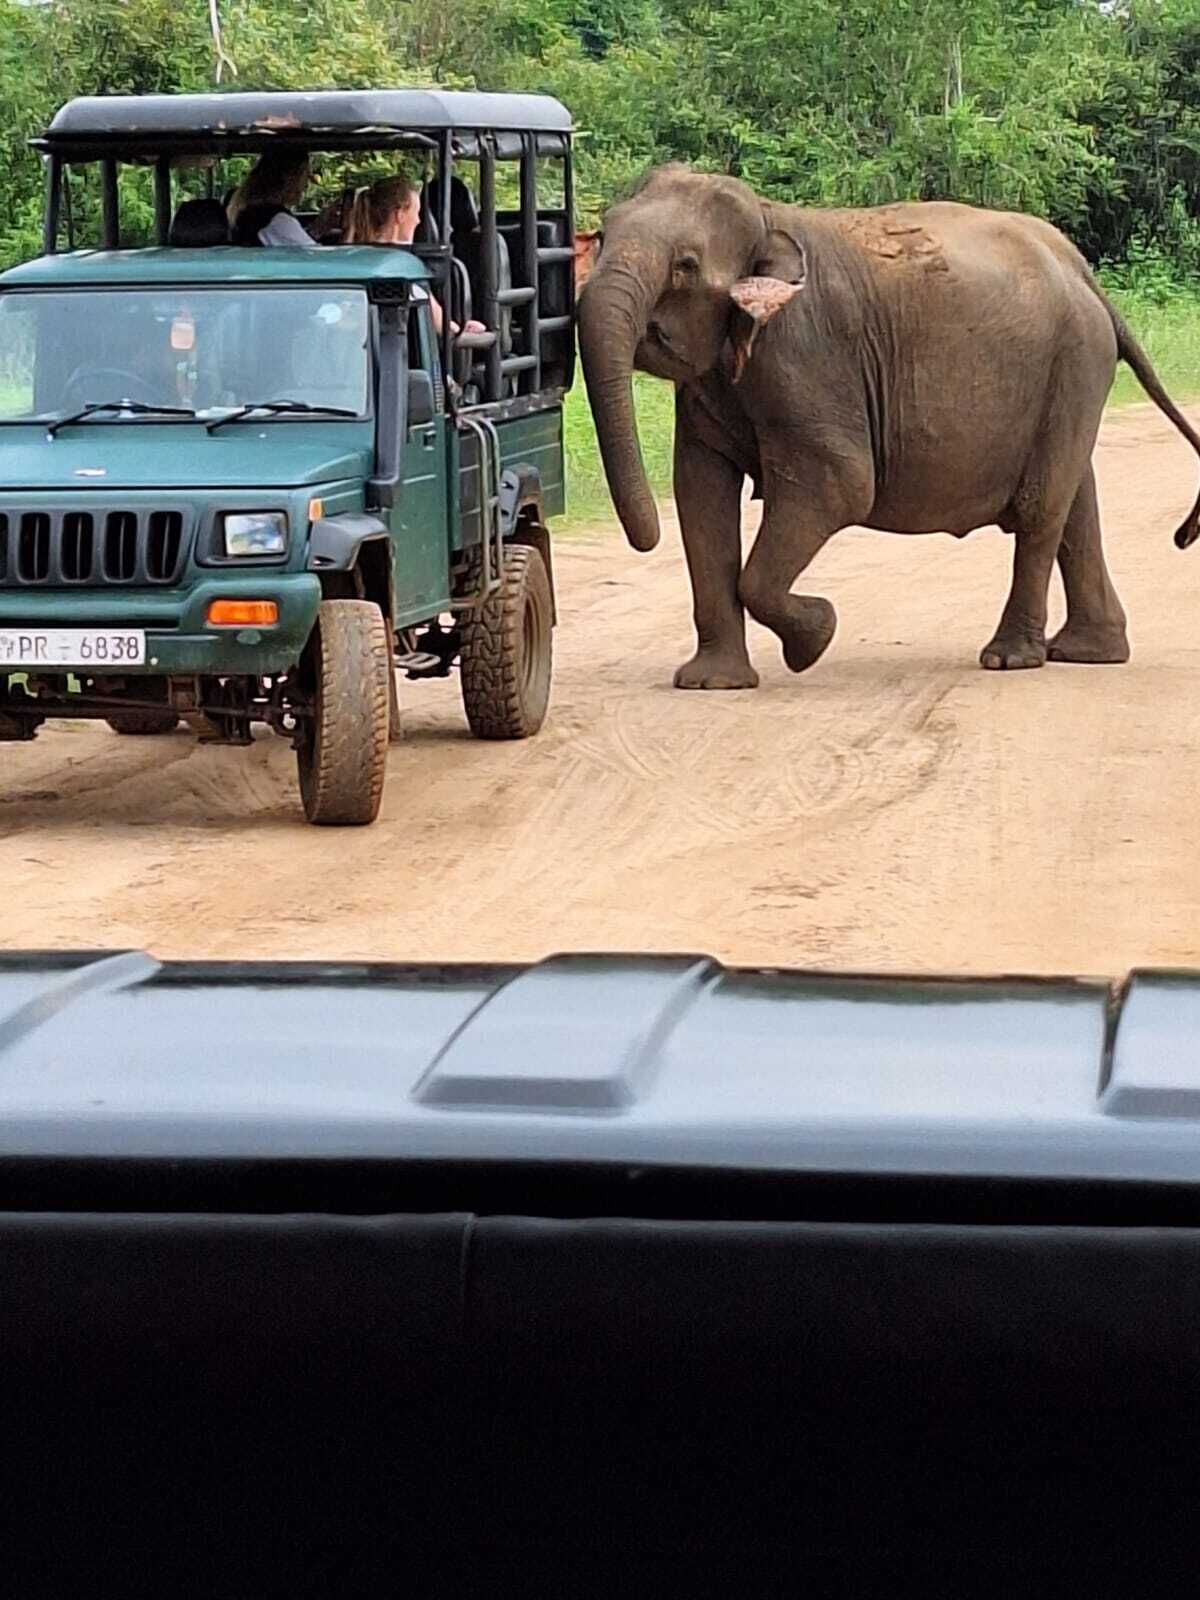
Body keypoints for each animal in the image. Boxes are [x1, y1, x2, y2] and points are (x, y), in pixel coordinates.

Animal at [577, 164, 1200, 688]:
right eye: (601, 238)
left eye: (684, 267)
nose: (643, 538)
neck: (768, 217)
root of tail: (1083, 272)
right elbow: (700, 492)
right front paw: (712, 684)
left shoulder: (808, 356)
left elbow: (841, 485)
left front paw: (816, 638)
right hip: (1070, 374)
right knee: (1075, 498)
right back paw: (1089, 652)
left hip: (1075, 362)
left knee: (1041, 505)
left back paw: (1009, 659)